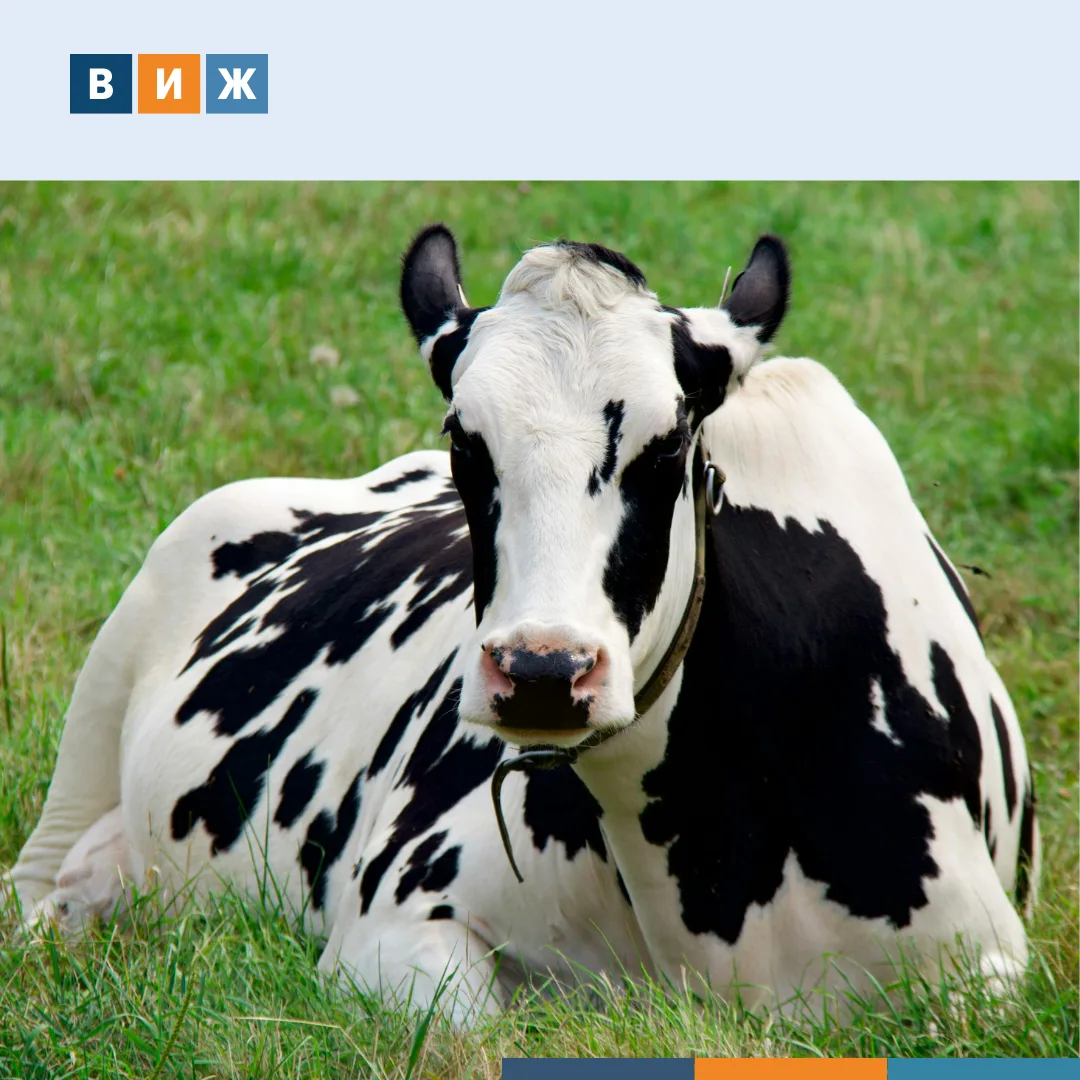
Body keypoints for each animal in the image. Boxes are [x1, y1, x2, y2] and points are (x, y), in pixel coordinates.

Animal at [7, 225, 1037, 1026]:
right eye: (466, 440)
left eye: (670, 443)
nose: (543, 671)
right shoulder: (390, 925)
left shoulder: (989, 970)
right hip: (98, 709)